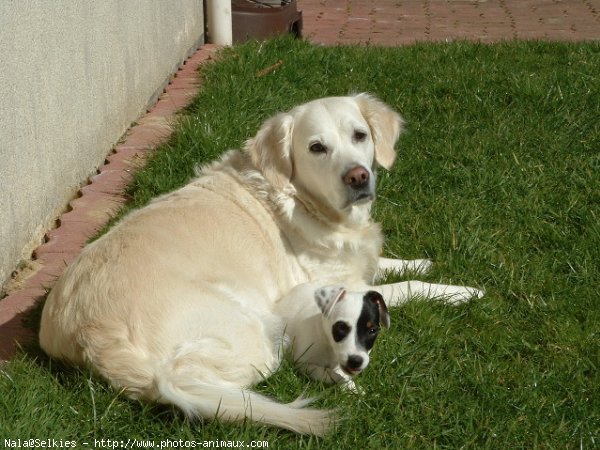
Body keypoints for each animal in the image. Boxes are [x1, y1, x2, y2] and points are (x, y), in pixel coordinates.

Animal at [39, 95, 482, 436]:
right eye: (316, 147)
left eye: (360, 135)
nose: (358, 177)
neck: (300, 201)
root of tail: (88, 332)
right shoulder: (339, 289)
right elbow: (403, 288)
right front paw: (463, 291)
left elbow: (388, 264)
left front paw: (423, 260)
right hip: (254, 333)